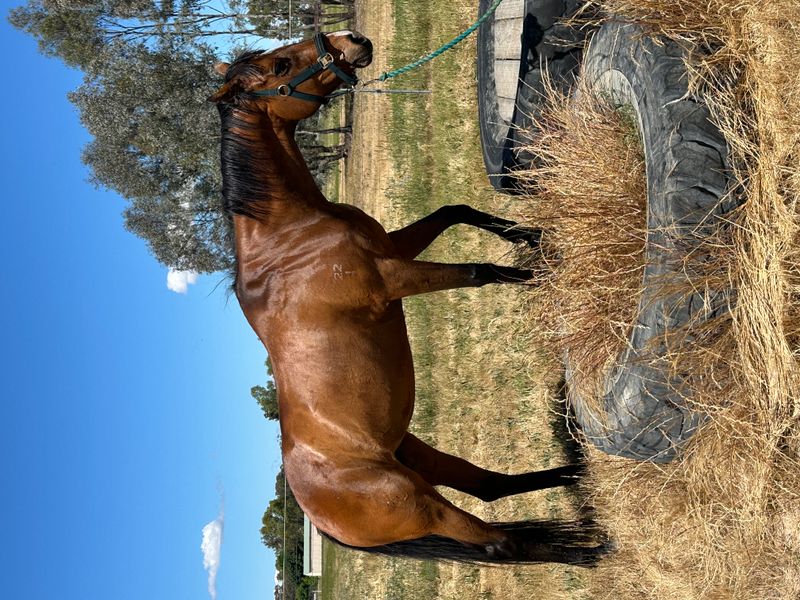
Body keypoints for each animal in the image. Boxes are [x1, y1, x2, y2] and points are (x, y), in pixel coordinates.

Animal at [208, 31, 608, 566]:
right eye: (282, 65)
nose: (352, 41)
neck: (290, 236)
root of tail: (319, 514)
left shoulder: (395, 247)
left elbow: (457, 211)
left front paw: (534, 237)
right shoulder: (393, 277)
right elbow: (480, 272)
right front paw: (548, 273)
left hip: (414, 453)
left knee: (489, 487)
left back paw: (576, 473)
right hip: (422, 504)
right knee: (500, 541)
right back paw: (588, 552)